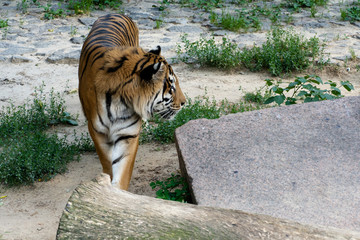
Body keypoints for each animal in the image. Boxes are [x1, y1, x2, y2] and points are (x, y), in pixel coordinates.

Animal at [79, 13, 186, 190]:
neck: (120, 101)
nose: (185, 102)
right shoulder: (97, 131)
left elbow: (122, 169)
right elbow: (107, 161)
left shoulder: (128, 134)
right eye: (171, 87)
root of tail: (114, 13)